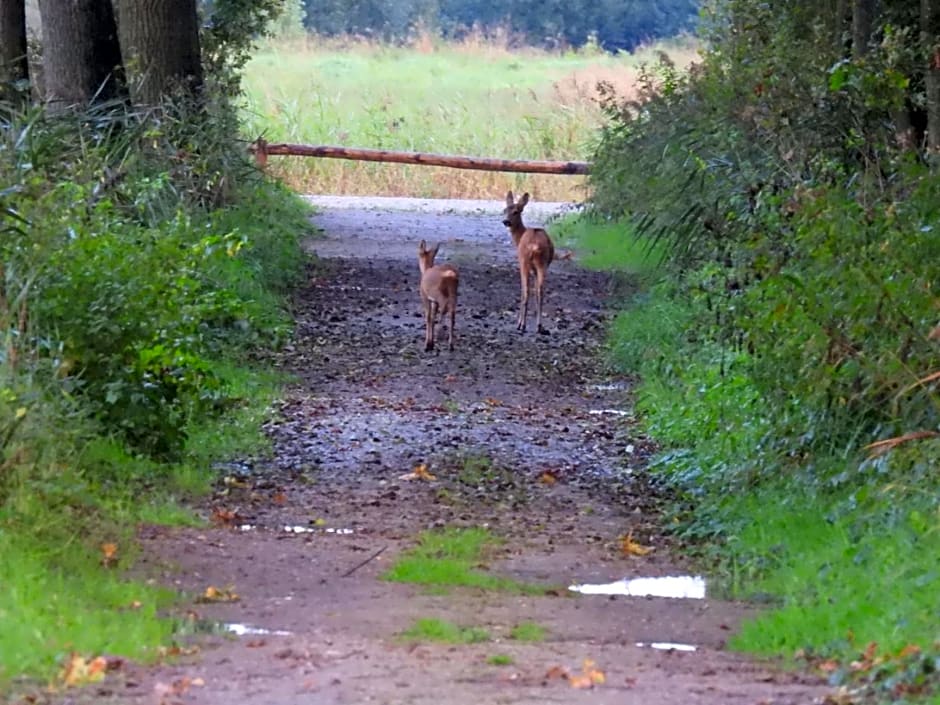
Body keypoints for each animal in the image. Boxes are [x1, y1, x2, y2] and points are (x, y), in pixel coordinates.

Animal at [504, 190, 556, 332]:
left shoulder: (522, 263)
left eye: (516, 211)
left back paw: (521, 324)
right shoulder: (536, 270)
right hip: (542, 264)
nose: (505, 221)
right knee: (540, 291)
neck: (520, 236)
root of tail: (534, 246)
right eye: (504, 210)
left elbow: (524, 291)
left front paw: (520, 322)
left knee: (525, 291)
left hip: (524, 262)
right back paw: (539, 325)